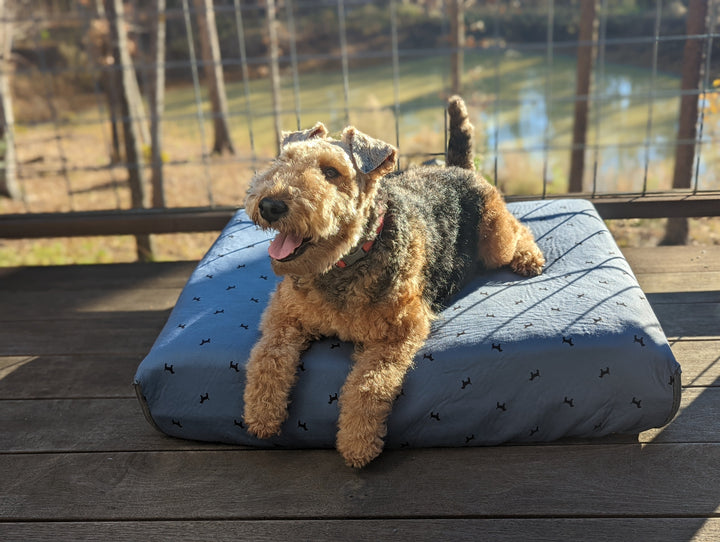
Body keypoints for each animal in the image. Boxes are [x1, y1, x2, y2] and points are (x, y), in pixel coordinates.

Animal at [242, 96, 544, 468]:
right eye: (284, 159)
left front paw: (357, 443)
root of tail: (458, 167)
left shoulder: (399, 331)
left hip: (496, 241)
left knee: (520, 230)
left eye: (331, 172)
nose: (270, 205)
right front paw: (262, 415)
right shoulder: (283, 316)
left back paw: (530, 259)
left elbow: (368, 384)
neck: (344, 262)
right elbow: (266, 357)